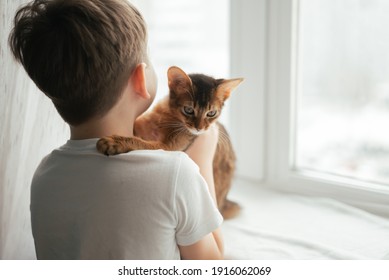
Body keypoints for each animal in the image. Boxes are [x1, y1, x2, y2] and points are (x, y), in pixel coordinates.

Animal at [97, 66, 242, 219]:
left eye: (211, 113)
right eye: (188, 110)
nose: (199, 128)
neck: (168, 117)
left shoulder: (168, 147)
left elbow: (139, 142)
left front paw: (115, 141)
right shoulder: (141, 125)